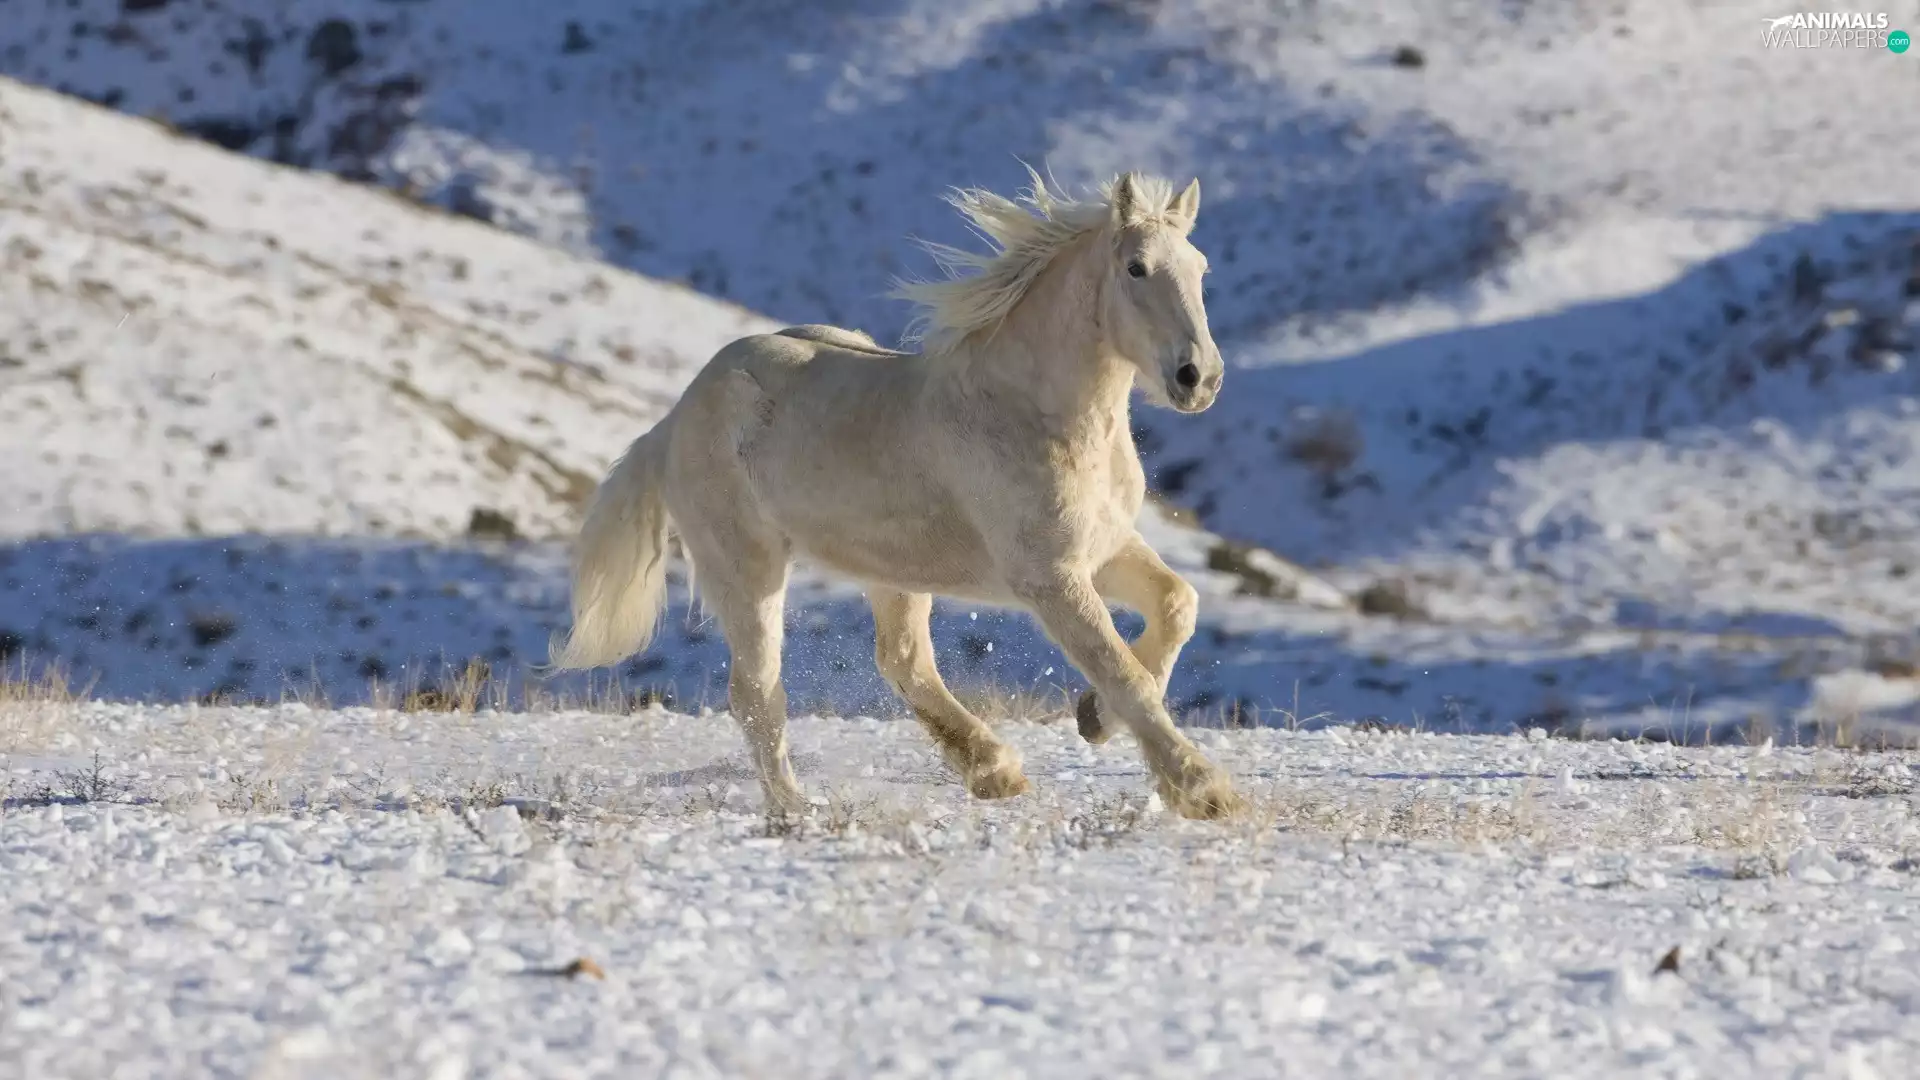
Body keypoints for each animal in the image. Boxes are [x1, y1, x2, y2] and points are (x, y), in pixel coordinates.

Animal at [548, 169, 1242, 820]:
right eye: (1136, 267)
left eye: (1201, 267)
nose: (1198, 378)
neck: (1031, 412)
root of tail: (673, 419)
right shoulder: (1050, 577)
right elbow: (1122, 671)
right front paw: (1205, 791)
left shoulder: (1104, 547)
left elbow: (1177, 606)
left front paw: (1094, 718)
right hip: (746, 567)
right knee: (756, 692)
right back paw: (796, 809)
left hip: (893, 570)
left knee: (903, 660)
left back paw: (994, 772)